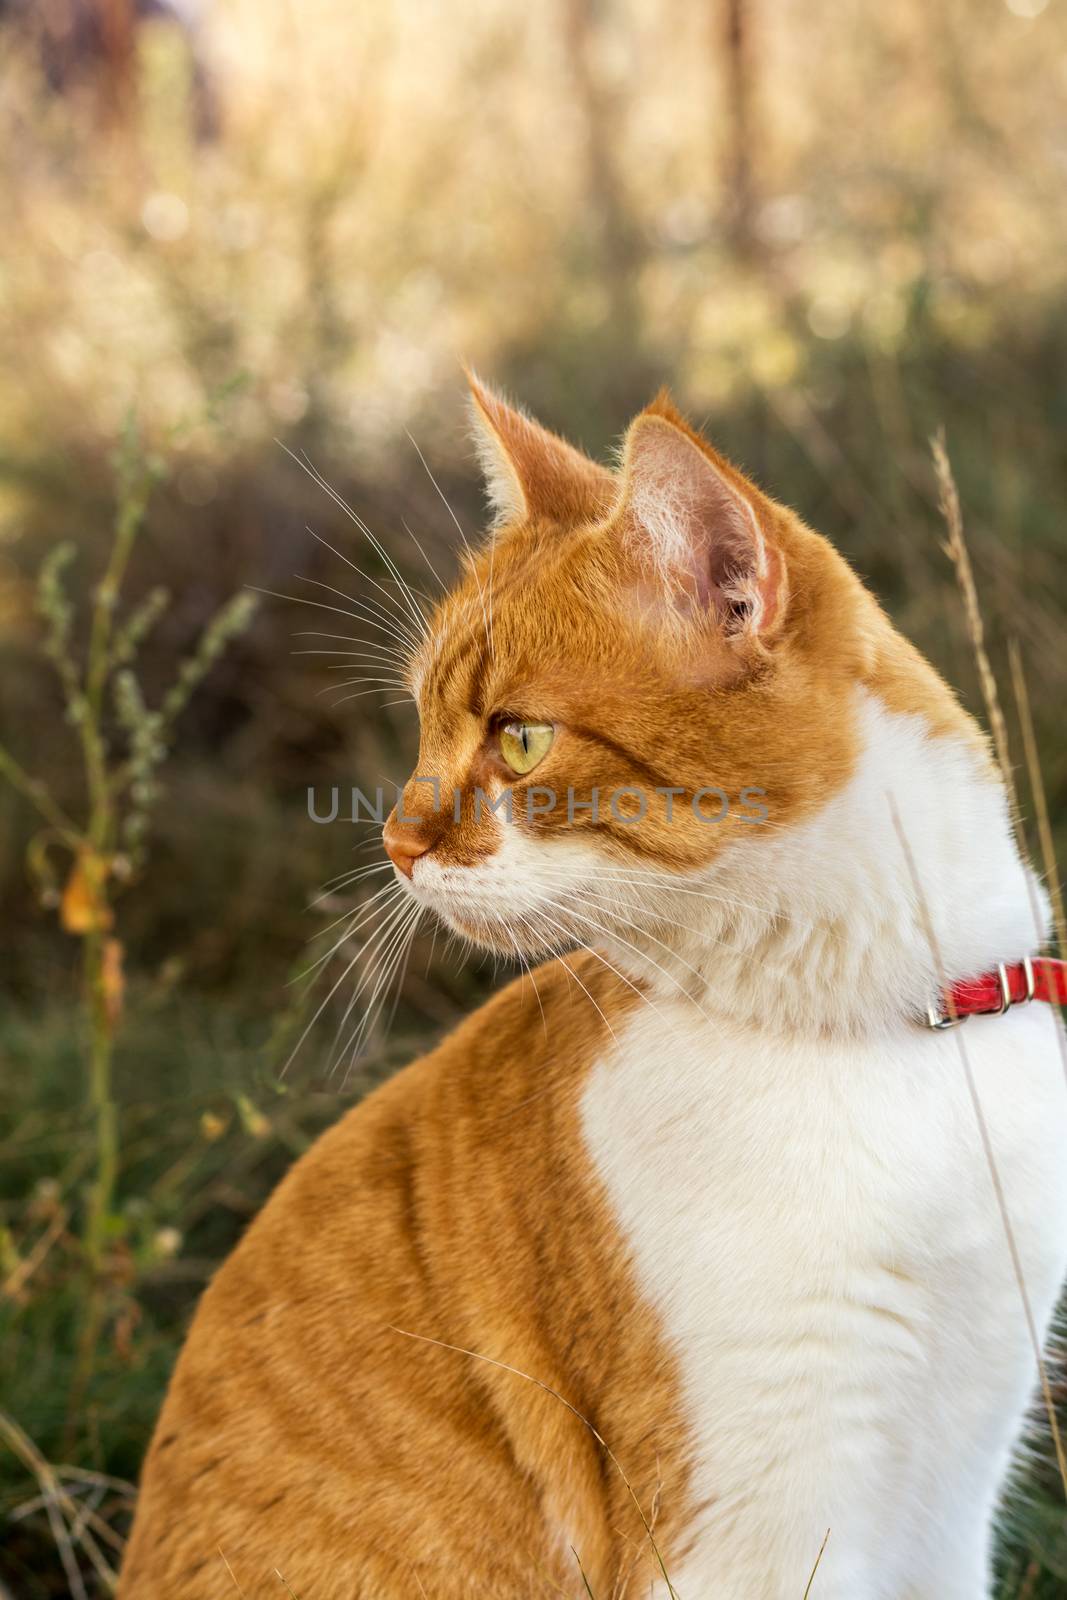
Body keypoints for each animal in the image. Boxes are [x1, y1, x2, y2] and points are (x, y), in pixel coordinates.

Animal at [116, 377, 1067, 1600]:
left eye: (519, 740)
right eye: (422, 725)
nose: (394, 842)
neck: (869, 1033)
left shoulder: (952, 1486)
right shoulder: (751, 1527)